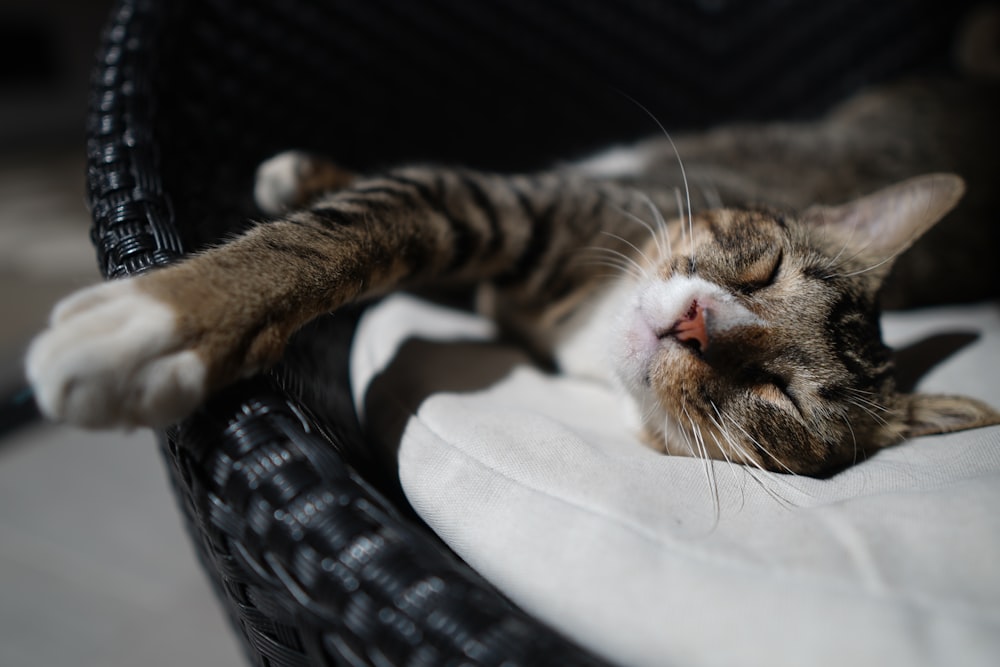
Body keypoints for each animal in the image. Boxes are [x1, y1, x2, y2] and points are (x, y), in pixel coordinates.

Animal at [21, 78, 1000, 478]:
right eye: (763, 272)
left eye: (778, 395)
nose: (695, 323)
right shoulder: (518, 207)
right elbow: (367, 217)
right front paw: (164, 311)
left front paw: (154, 322)